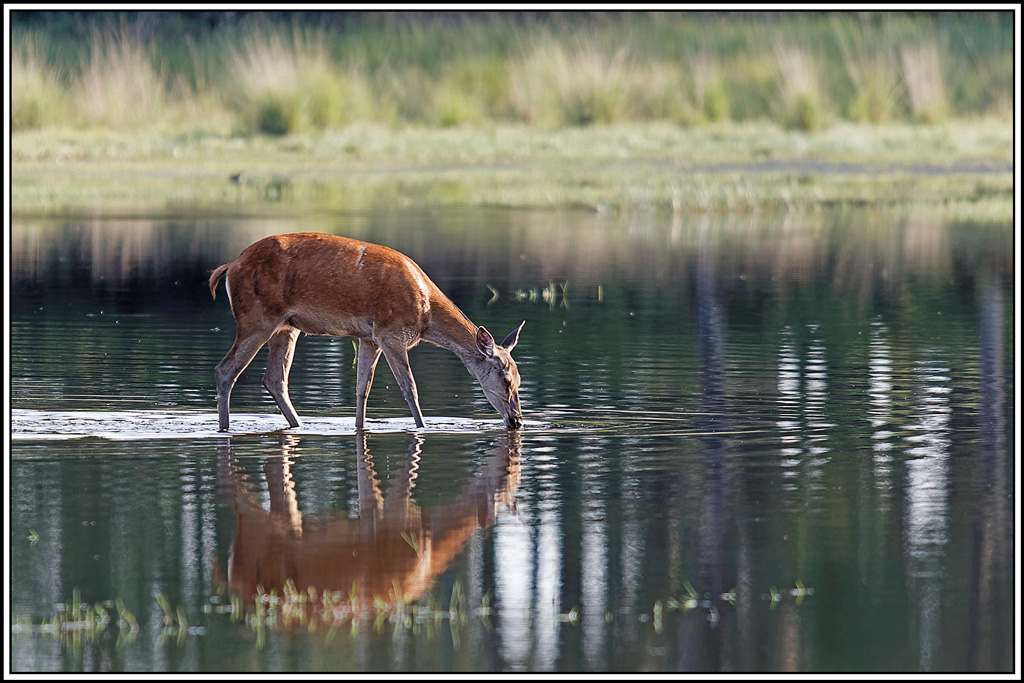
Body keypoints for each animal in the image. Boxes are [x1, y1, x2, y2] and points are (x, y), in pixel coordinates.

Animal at [208, 232, 525, 432]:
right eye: (506, 379)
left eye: (520, 380)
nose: (518, 421)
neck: (426, 315)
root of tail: (228, 266)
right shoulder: (391, 332)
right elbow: (409, 387)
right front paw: (423, 427)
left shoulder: (368, 337)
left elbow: (363, 388)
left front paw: (359, 427)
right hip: (256, 318)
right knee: (225, 370)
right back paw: (224, 429)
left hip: (287, 327)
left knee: (275, 378)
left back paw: (298, 425)